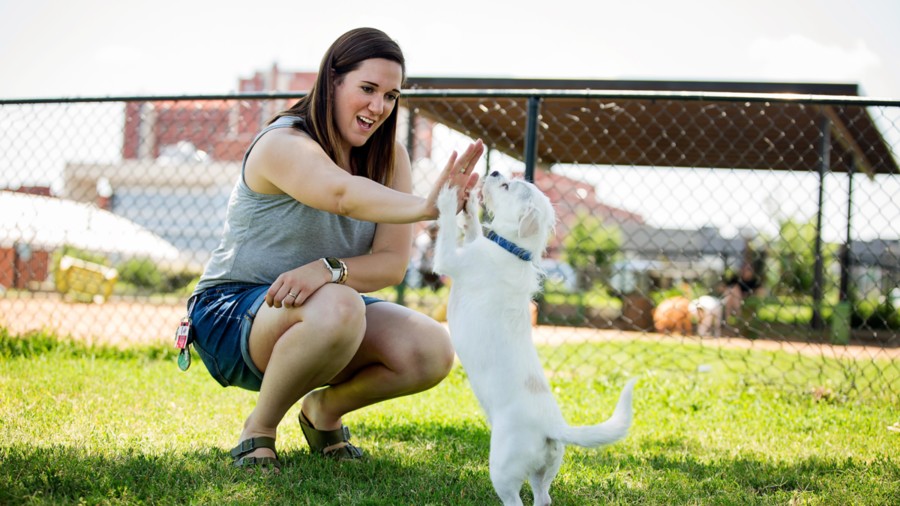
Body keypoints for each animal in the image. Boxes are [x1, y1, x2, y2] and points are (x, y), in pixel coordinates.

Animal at [432, 172, 636, 504]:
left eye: (507, 187)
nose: (495, 172)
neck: (512, 249)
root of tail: (551, 427)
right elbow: (473, 231)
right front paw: (470, 209)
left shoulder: (450, 260)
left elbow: (447, 230)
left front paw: (449, 198)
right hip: (545, 471)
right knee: (543, 498)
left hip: (503, 469)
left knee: (514, 500)